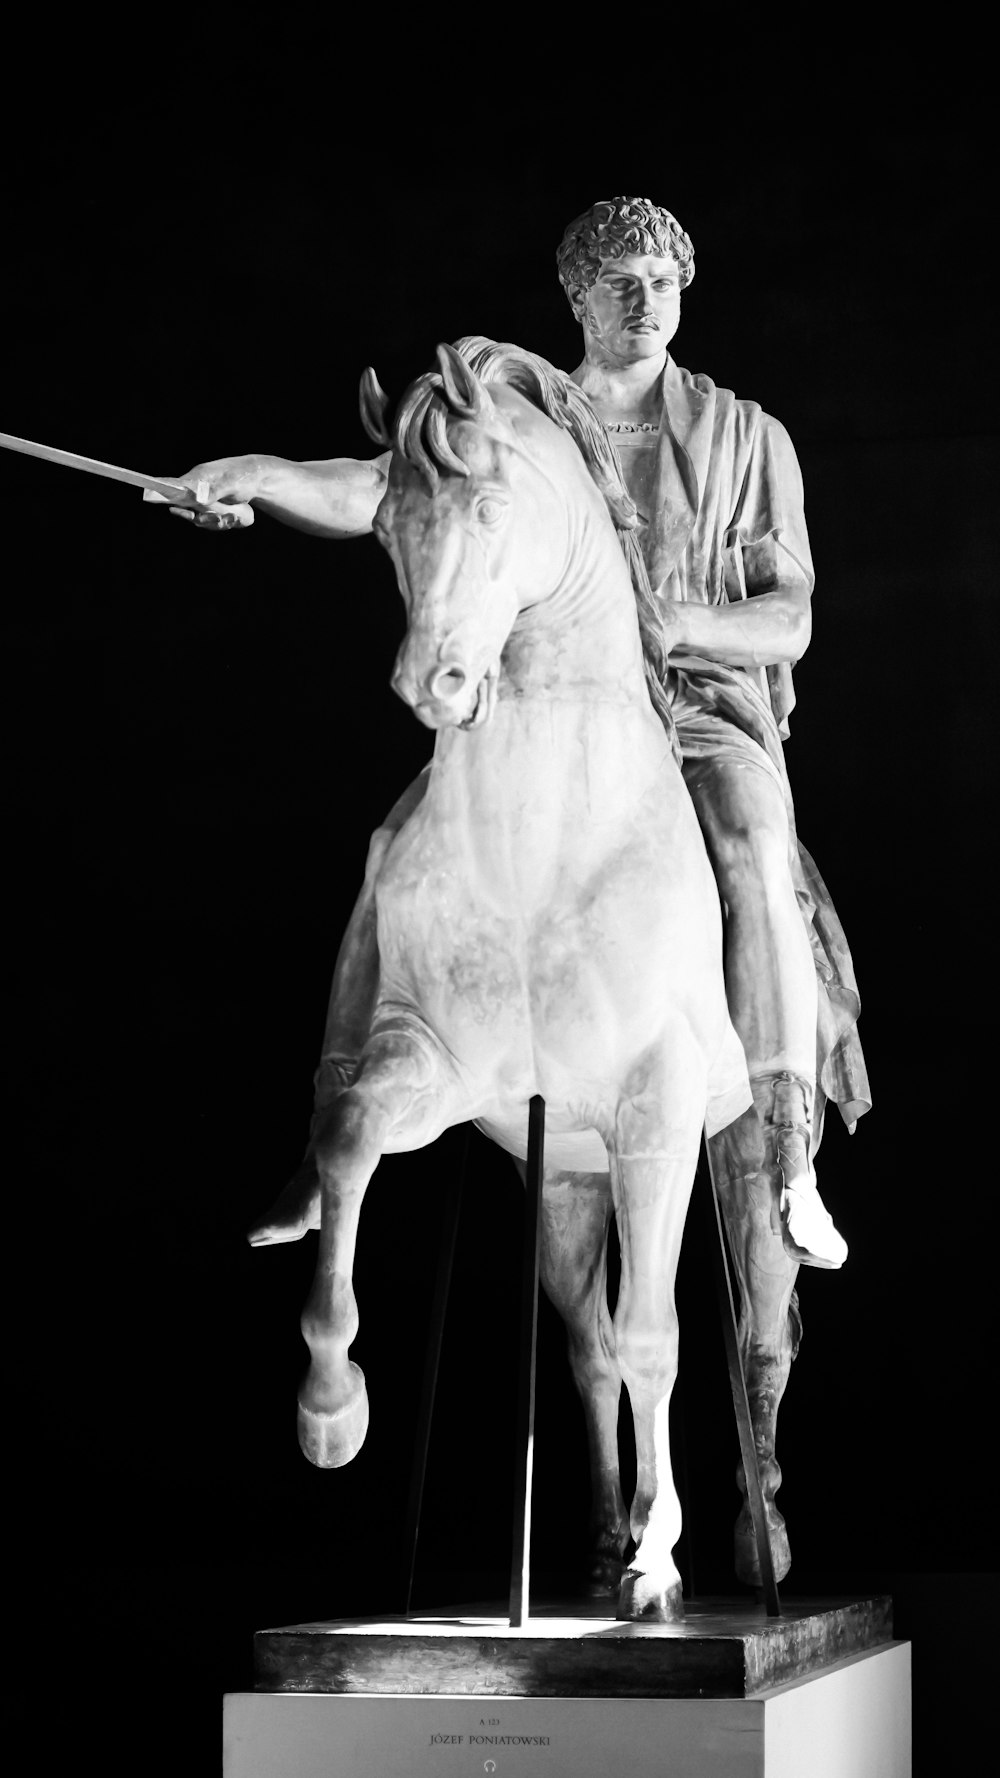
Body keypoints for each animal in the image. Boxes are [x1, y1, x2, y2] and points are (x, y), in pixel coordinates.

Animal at [286, 334, 747, 1628]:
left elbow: (658, 1338)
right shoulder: (440, 1067)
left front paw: (660, 1562)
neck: (547, 840)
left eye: (490, 507)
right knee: (582, 1343)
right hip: (563, 1177)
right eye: (383, 525)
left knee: (663, 1334)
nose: (432, 685)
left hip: (660, 1155)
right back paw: (586, 1540)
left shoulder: (657, 1109)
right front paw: (330, 1409)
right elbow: (350, 1137)